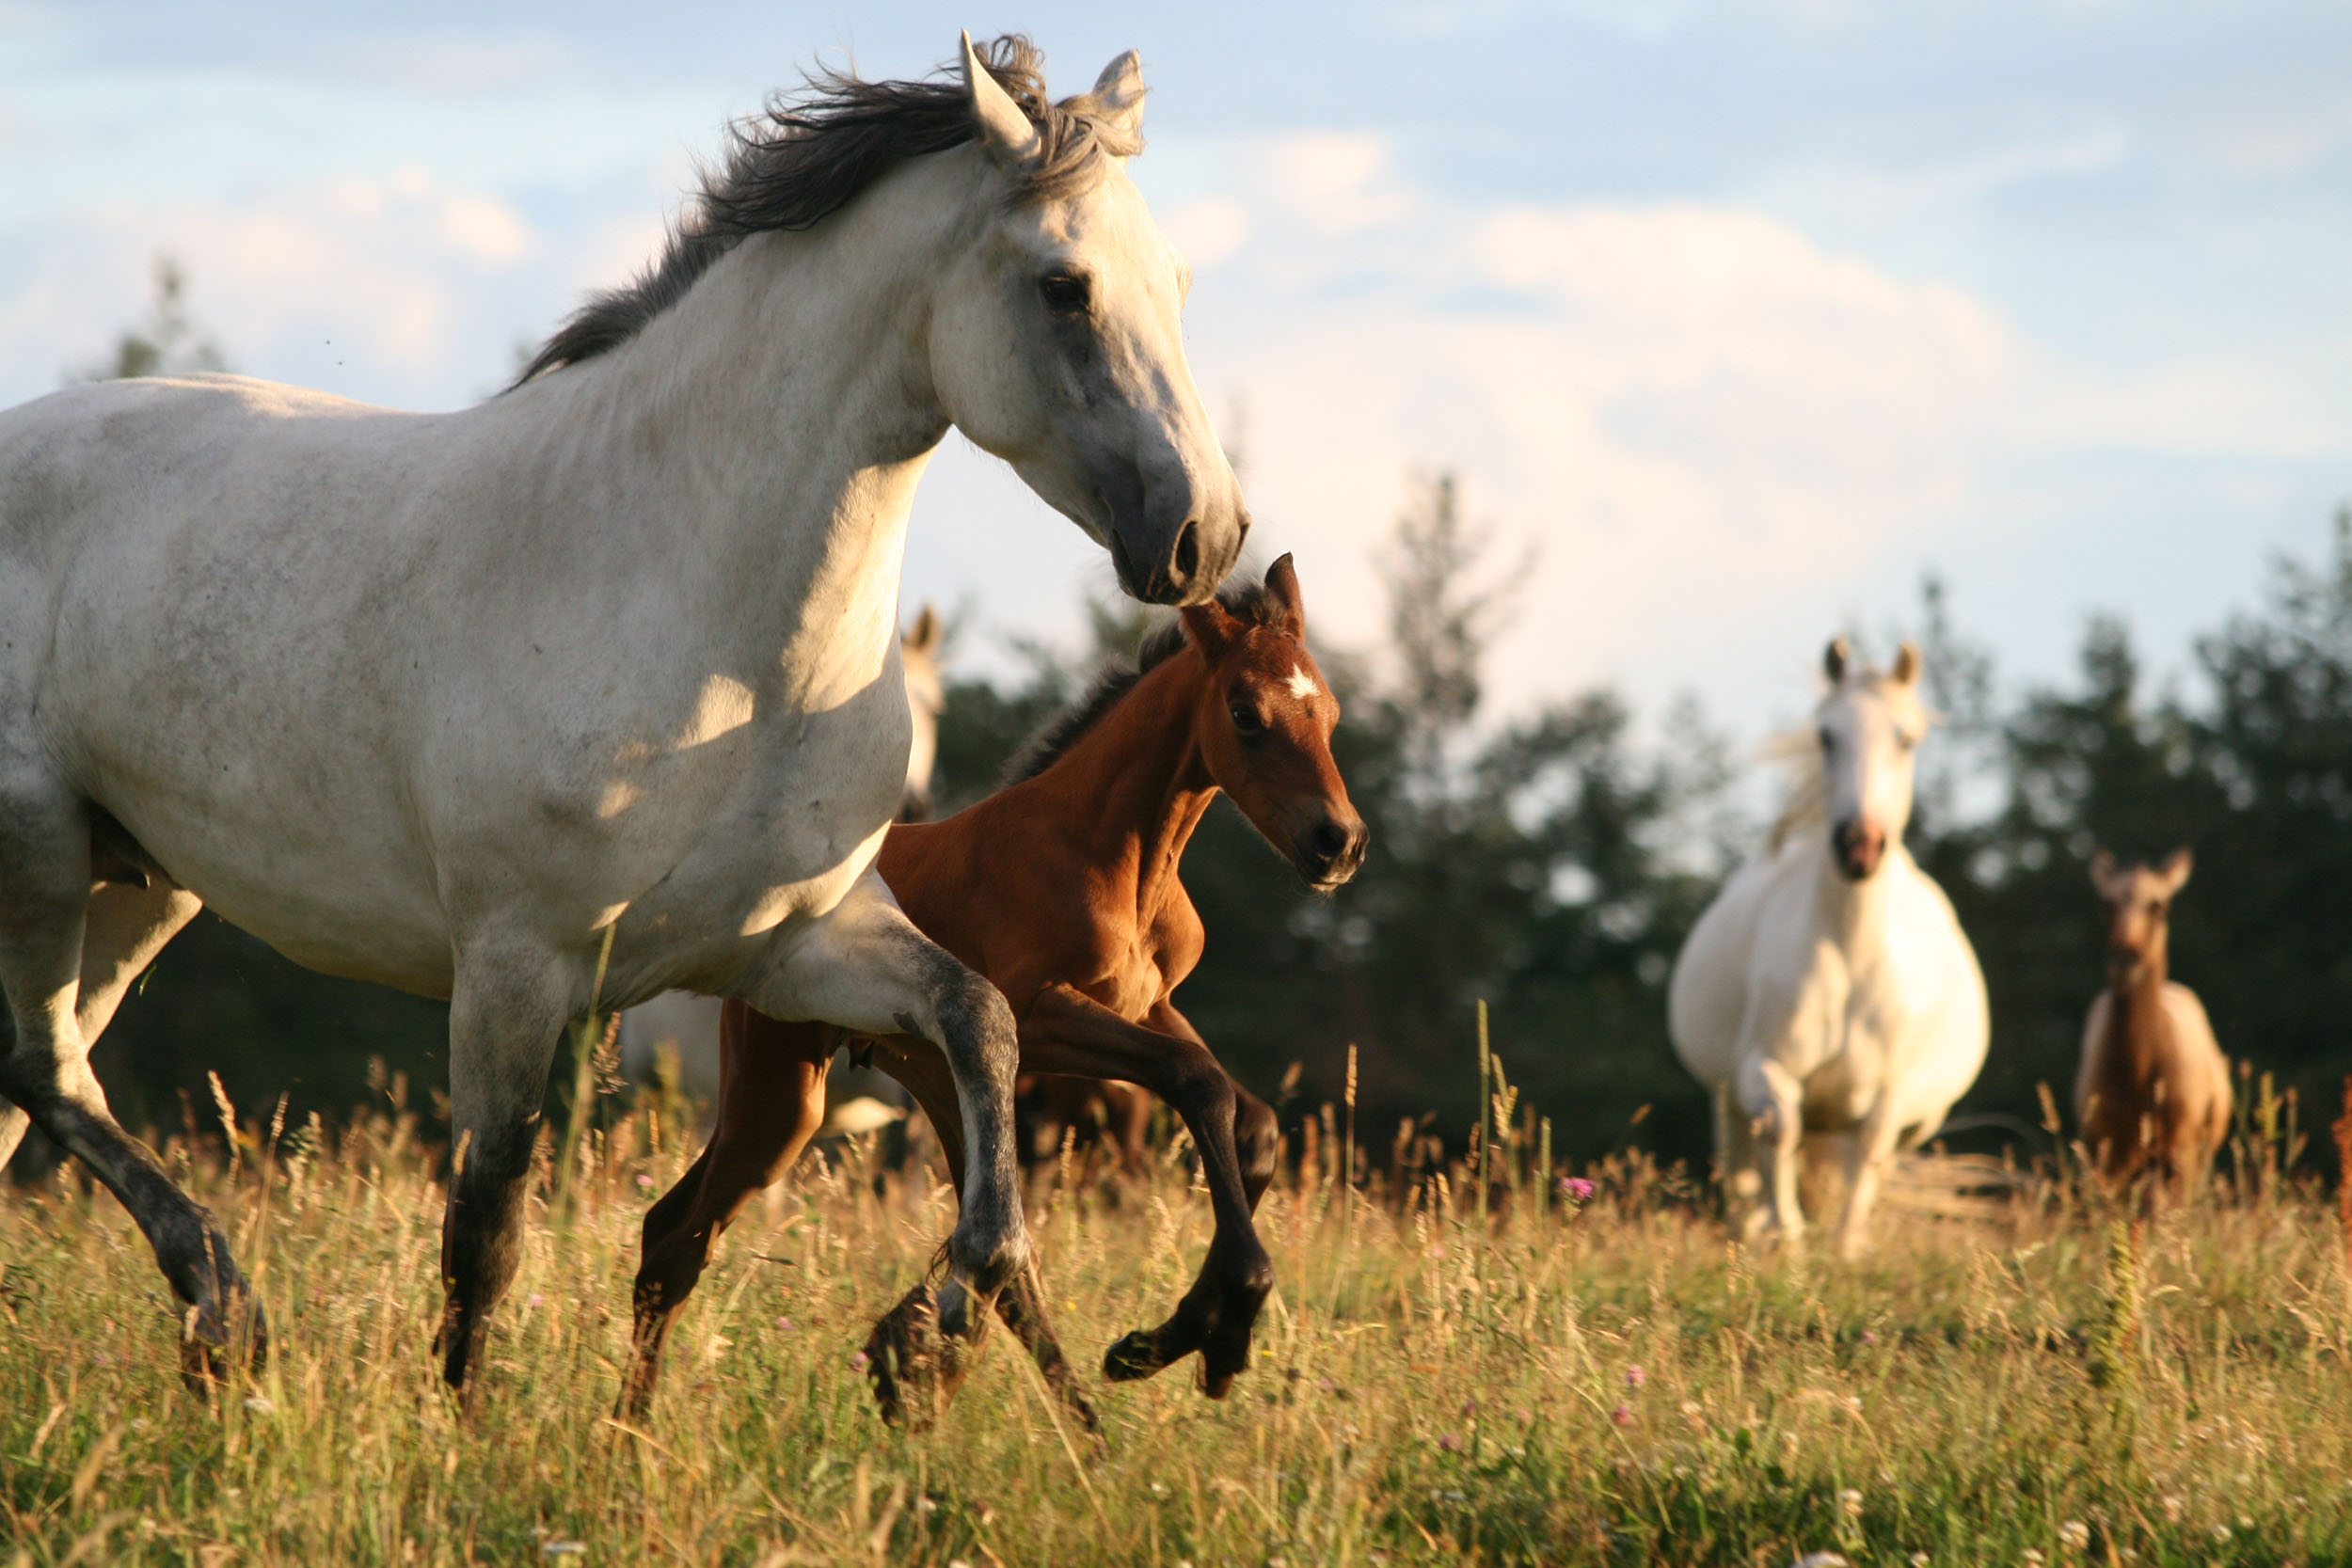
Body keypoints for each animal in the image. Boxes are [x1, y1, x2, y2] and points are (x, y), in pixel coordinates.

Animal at [0, 33, 1251, 1401]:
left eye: (1181, 280)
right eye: (1064, 287)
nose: (1206, 534)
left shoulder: (796, 944)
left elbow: (981, 1028)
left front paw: (966, 1318)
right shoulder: (515, 963)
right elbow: (488, 1222)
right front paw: (476, 1433)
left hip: (137, 887)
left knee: (34, 1081)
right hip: (44, 854)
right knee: (41, 1067)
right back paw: (227, 1305)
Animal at [616, 557, 1374, 1429]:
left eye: (1330, 710)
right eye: (1246, 713)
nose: (1338, 842)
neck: (1114, 853)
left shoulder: (1149, 1007)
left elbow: (1252, 1123)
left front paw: (1176, 1333)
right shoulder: (1040, 1014)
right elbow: (1201, 1083)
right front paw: (1214, 1331)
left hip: (936, 1084)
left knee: (998, 1263)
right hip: (780, 1092)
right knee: (676, 1237)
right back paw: (634, 1432)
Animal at [1675, 629, 1985, 1259]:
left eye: (1907, 739)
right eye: (1826, 735)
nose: (1858, 846)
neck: (1853, 950)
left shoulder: (1891, 1091)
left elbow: (1871, 1148)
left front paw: (1844, 1248)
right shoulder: (1762, 1067)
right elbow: (1779, 1131)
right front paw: (1787, 1238)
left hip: (1921, 1115)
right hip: (1726, 1097)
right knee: (1746, 1162)